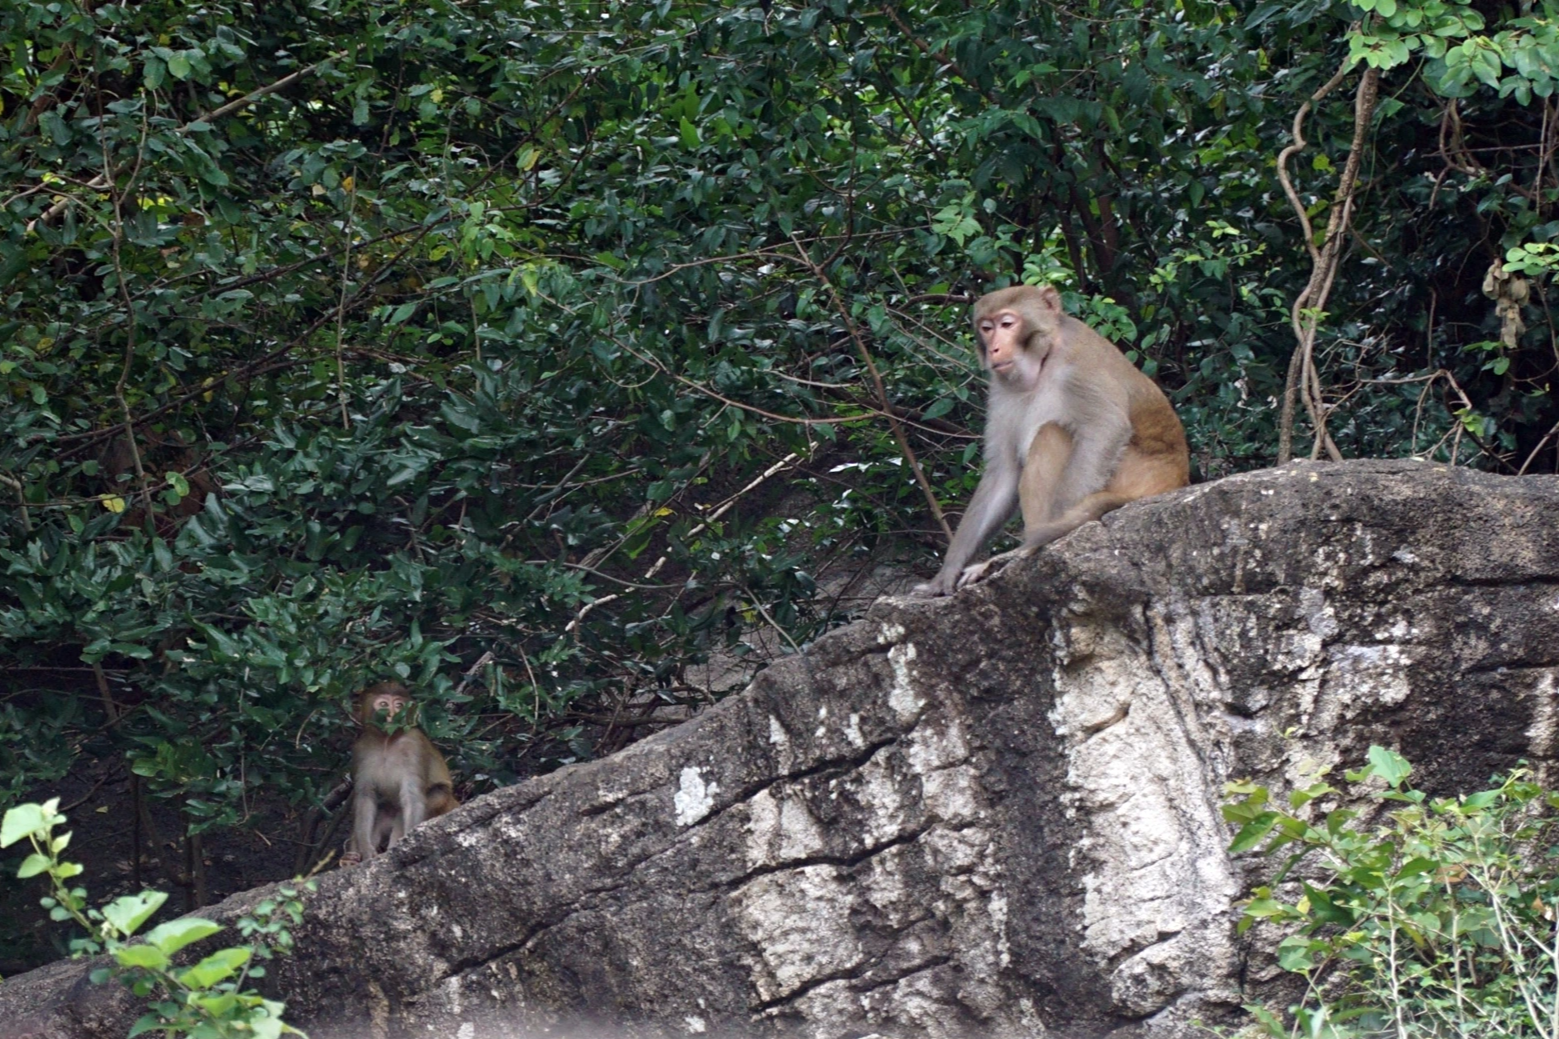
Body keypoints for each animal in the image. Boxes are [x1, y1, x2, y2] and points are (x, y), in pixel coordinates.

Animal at [910, 283, 1184, 595]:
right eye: (987, 328)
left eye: (1007, 324)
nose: (994, 348)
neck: (1044, 359)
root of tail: (1175, 479)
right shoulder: (1001, 390)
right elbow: (1004, 472)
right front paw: (945, 573)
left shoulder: (1078, 360)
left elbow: (1104, 428)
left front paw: (1046, 538)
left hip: (1132, 474)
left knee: (1050, 433)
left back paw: (1023, 550)